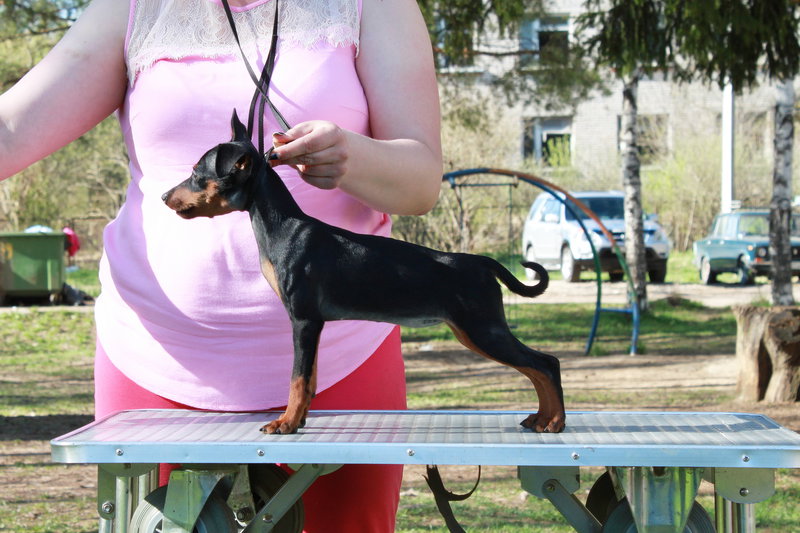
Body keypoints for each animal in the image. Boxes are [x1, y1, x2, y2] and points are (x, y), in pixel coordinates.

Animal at [159, 111, 564, 432]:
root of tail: (480, 261)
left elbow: (296, 378)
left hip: (482, 329)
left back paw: (554, 421)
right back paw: (540, 418)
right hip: (472, 331)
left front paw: (284, 423)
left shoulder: (303, 321)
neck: (283, 227)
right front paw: (298, 420)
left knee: (546, 362)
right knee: (538, 366)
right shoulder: (314, 325)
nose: (164, 196)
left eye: (196, 173)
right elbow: (310, 380)